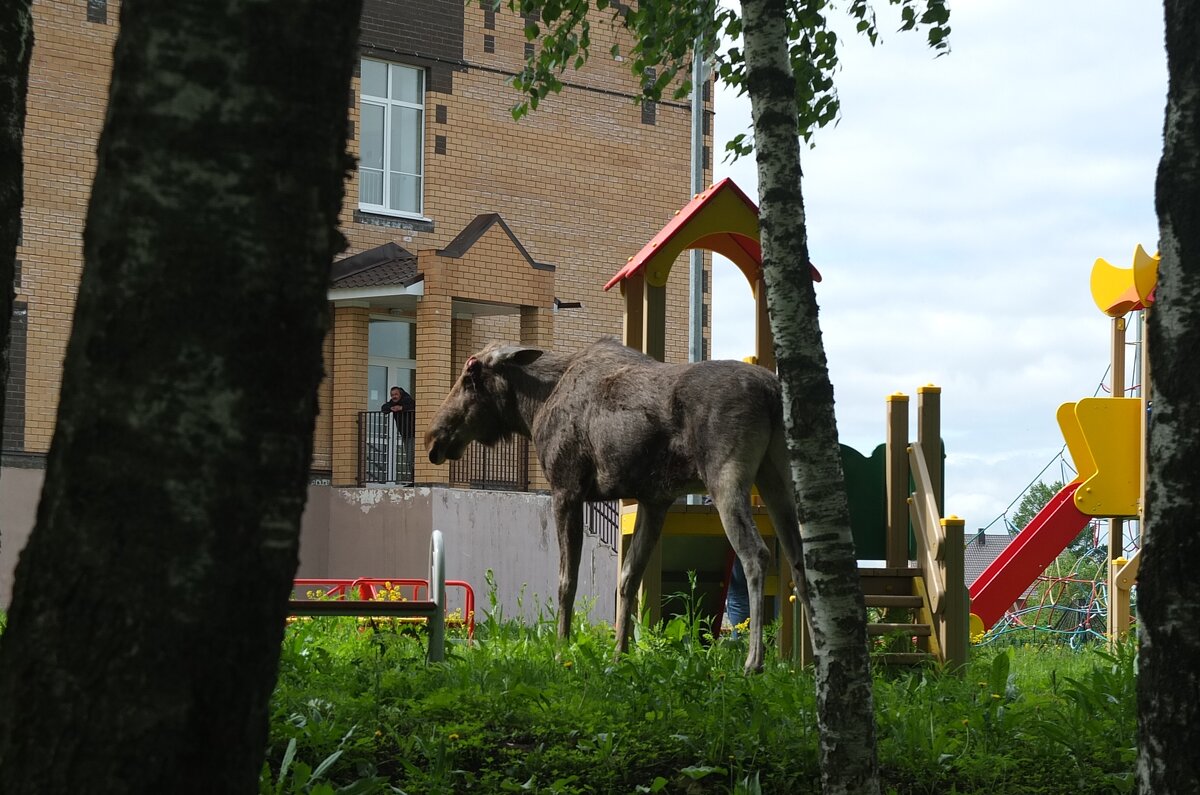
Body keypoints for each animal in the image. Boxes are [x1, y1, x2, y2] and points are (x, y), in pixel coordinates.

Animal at [424, 336, 806, 672]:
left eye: (470, 375)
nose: (433, 438)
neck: (532, 410)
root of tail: (773, 394)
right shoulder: (656, 499)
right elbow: (628, 578)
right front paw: (619, 654)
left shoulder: (566, 489)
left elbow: (566, 581)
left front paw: (561, 650)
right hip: (778, 478)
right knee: (800, 561)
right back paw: (809, 666)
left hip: (727, 475)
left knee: (757, 554)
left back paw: (754, 662)